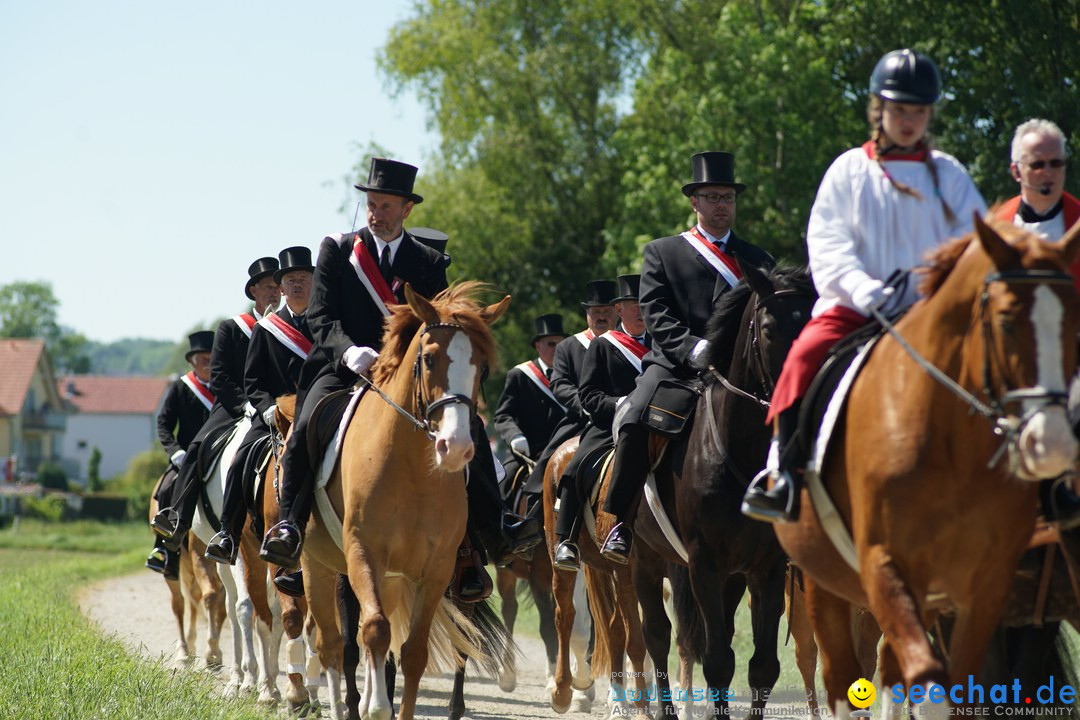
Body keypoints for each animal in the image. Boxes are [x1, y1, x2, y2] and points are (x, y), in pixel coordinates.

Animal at [300, 284, 509, 720]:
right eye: (428, 359)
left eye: (481, 367)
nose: (456, 447)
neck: (413, 469)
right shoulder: (363, 556)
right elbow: (373, 632)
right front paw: (377, 707)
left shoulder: (436, 569)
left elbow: (412, 652)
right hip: (318, 566)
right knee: (331, 645)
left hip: (396, 581)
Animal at [777, 216, 1080, 716]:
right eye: (1005, 322)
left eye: (1072, 324)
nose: (1050, 442)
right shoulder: (887, 569)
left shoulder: (986, 591)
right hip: (827, 587)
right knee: (840, 671)